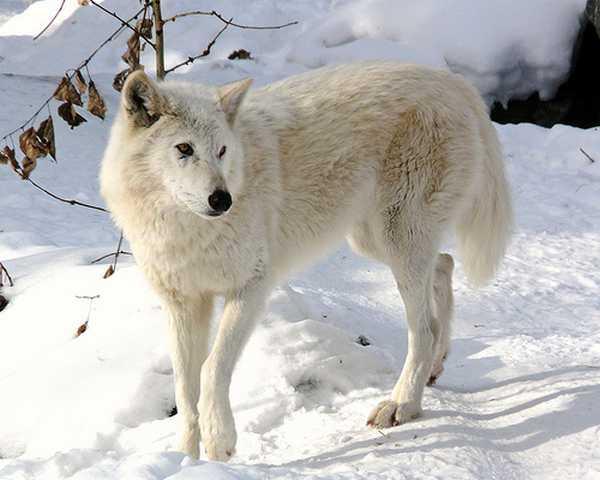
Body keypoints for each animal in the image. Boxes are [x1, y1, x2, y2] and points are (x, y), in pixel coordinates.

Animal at [98, 60, 510, 462]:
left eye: (222, 151)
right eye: (184, 148)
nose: (222, 199)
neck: (185, 228)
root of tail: (453, 81)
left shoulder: (251, 289)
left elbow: (212, 368)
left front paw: (220, 443)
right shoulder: (183, 303)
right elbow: (185, 387)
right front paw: (186, 458)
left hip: (397, 241)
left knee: (423, 328)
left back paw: (402, 405)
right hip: (374, 242)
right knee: (444, 266)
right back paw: (434, 369)